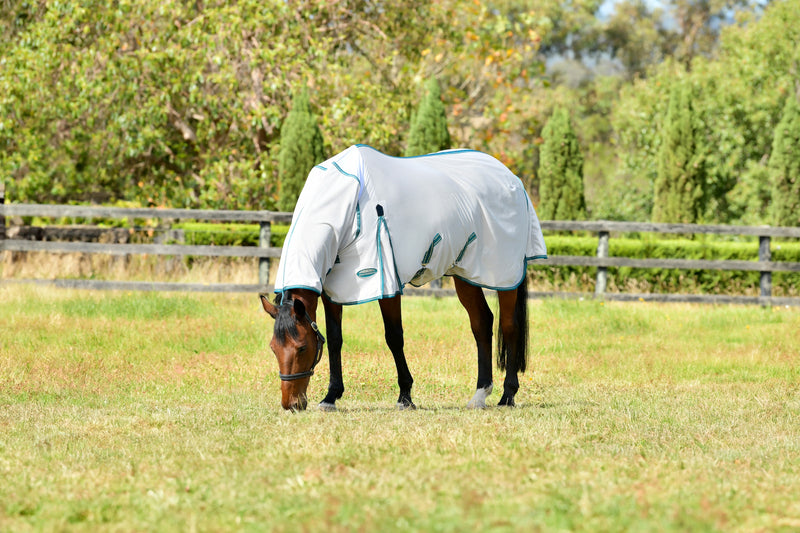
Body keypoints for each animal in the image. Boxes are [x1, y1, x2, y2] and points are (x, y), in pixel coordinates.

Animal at [259, 145, 547, 411]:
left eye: (301, 348)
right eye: (273, 348)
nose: (291, 404)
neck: (344, 203)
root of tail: (512, 178)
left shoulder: (386, 280)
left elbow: (394, 337)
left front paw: (405, 396)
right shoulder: (334, 287)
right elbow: (335, 340)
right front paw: (331, 397)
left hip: (505, 274)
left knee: (509, 326)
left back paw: (507, 396)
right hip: (465, 274)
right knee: (481, 323)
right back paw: (480, 395)